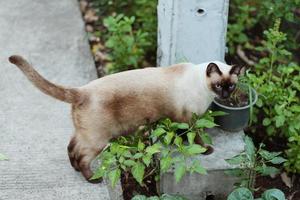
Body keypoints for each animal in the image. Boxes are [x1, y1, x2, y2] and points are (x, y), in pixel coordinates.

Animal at [8, 55, 245, 183]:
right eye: (218, 85)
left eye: (231, 86)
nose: (226, 95)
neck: (205, 91)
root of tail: (82, 91)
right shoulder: (190, 119)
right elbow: (196, 138)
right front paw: (206, 150)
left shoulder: (180, 119)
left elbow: (179, 135)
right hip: (98, 140)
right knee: (82, 156)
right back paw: (92, 179)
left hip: (84, 134)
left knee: (71, 147)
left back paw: (75, 169)